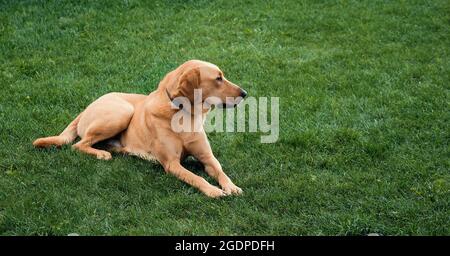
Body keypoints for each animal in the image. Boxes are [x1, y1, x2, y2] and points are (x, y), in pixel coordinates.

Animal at [33, 60, 248, 198]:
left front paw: (232, 186)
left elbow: (220, 171)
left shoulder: (207, 158)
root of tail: (87, 107)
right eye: (218, 78)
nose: (245, 93)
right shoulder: (172, 164)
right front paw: (213, 191)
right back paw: (102, 153)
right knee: (78, 145)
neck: (185, 114)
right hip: (122, 112)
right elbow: (196, 178)